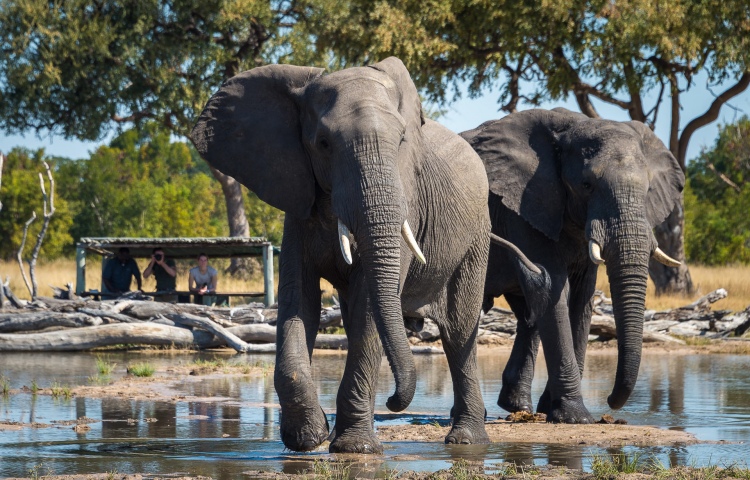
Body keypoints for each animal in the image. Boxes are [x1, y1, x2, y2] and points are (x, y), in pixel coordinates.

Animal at [192, 58, 494, 452]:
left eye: (401, 140)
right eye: (323, 144)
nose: (393, 401)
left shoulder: (407, 200)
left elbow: (369, 305)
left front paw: (353, 448)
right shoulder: (297, 204)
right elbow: (299, 301)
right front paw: (310, 436)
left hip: (478, 232)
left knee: (458, 330)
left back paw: (466, 440)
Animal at [462, 109, 684, 424]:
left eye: (649, 188)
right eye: (587, 185)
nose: (610, 401)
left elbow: (581, 296)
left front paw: (553, 410)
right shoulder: (523, 206)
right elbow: (554, 286)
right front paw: (576, 417)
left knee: (528, 313)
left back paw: (519, 407)